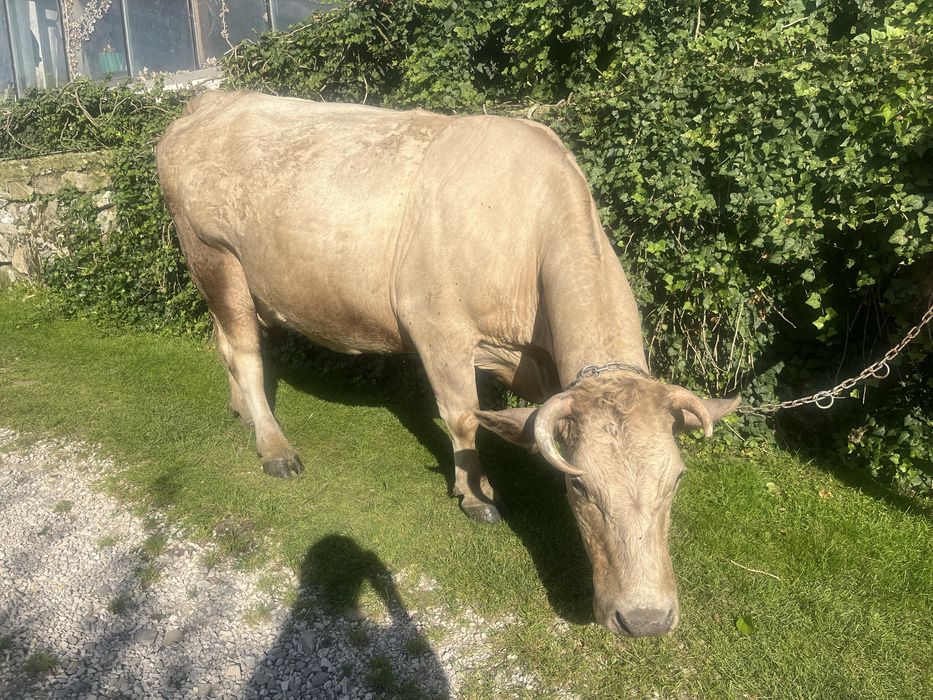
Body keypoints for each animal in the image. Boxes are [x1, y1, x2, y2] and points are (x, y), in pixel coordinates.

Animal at [155, 91, 739, 637]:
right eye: (582, 488)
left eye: (677, 480)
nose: (645, 619)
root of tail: (215, 99)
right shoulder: (438, 328)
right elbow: (462, 417)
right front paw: (476, 494)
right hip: (213, 254)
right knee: (246, 353)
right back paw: (274, 446)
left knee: (226, 344)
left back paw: (242, 414)